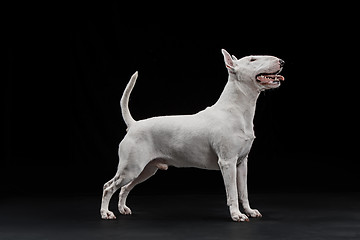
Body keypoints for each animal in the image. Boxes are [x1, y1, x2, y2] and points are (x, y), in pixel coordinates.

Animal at [100, 48, 284, 221]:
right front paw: (236, 215)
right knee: (108, 187)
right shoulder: (228, 162)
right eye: (252, 59)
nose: (281, 61)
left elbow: (243, 192)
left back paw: (123, 209)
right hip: (131, 168)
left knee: (124, 188)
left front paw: (250, 211)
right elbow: (232, 192)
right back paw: (106, 213)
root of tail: (134, 124)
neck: (236, 110)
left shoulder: (241, 163)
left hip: (146, 170)